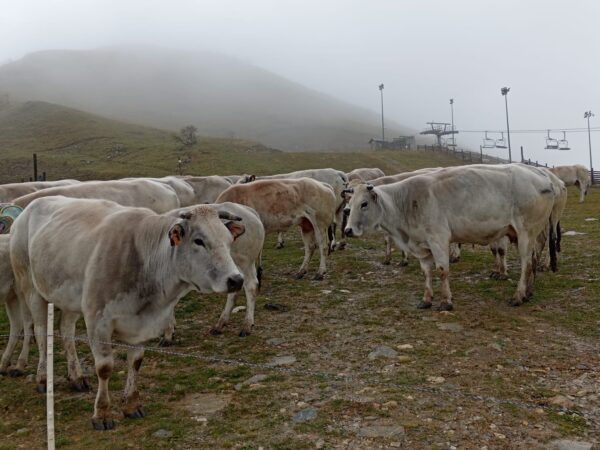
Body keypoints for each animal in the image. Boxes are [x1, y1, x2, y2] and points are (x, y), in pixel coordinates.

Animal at [9, 196, 245, 428]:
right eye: (199, 241)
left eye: (229, 240)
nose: (236, 279)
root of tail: (30, 207)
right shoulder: (97, 320)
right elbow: (104, 367)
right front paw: (102, 414)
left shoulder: (143, 323)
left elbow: (136, 362)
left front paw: (131, 405)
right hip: (31, 288)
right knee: (41, 334)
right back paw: (42, 379)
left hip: (69, 299)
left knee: (66, 331)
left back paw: (76, 377)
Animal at [344, 164, 564, 310]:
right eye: (349, 204)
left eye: (364, 204)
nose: (347, 230)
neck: (406, 202)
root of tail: (545, 177)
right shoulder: (422, 246)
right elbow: (426, 273)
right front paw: (426, 300)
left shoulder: (438, 239)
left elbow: (442, 271)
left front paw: (445, 302)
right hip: (527, 234)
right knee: (533, 260)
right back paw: (528, 293)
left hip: (526, 232)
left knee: (526, 263)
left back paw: (518, 296)